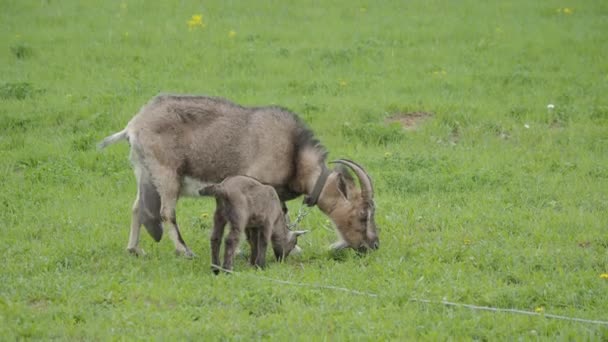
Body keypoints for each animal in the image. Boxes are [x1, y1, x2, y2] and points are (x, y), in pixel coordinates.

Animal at [98, 94, 378, 256]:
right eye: (363, 214)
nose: (373, 245)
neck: (294, 153)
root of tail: (133, 126)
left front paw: (292, 246)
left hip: (144, 172)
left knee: (137, 207)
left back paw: (134, 249)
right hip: (167, 174)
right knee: (167, 212)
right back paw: (185, 251)